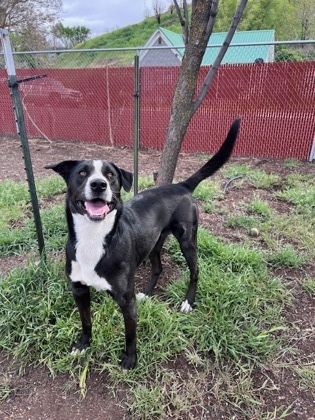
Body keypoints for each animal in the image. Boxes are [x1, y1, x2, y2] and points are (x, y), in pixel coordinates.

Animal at [45, 117, 241, 368]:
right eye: (81, 173)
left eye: (111, 176)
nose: (98, 184)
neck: (94, 237)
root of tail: (181, 185)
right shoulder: (78, 290)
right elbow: (86, 321)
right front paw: (83, 345)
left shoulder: (126, 301)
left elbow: (130, 333)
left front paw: (130, 359)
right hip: (154, 243)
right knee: (158, 268)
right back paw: (147, 294)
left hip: (188, 241)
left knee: (195, 271)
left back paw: (188, 302)